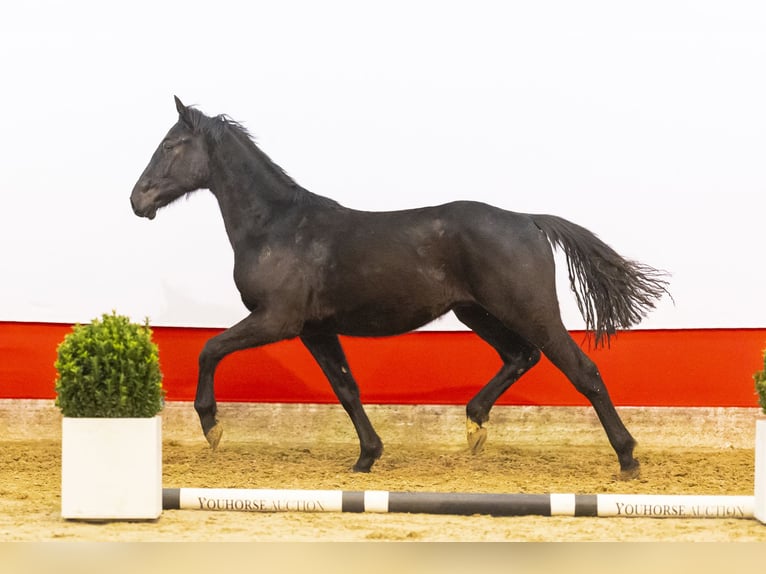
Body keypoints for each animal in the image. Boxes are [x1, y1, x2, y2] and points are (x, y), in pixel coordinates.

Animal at [129, 97, 668, 480]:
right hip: (476, 312)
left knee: (582, 370)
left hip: (529, 310)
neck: (278, 227)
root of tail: (529, 220)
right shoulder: (316, 328)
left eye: (171, 145)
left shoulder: (276, 320)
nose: (138, 199)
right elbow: (346, 387)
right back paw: (474, 427)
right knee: (521, 356)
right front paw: (368, 456)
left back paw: (627, 458)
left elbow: (209, 348)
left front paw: (212, 427)